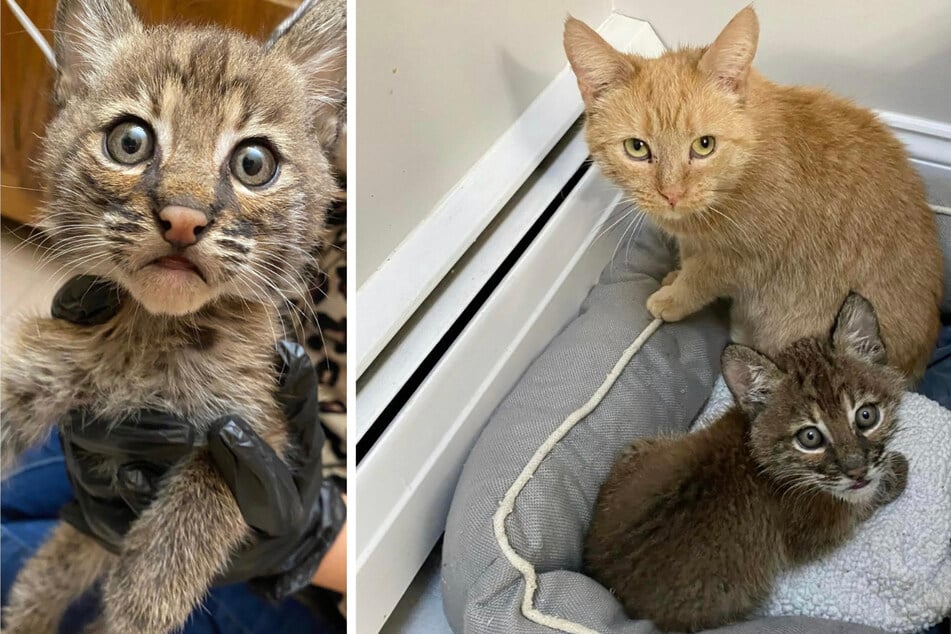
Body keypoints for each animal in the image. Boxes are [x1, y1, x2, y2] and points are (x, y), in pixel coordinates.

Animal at [0, 1, 346, 632]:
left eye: (253, 163)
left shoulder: (263, 430)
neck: (158, 330)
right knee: (41, 579)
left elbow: (211, 488)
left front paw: (142, 598)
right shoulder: (46, 356)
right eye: (130, 142)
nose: (183, 219)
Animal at [560, 7, 940, 380]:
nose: (672, 193)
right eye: (636, 148)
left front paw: (673, 297)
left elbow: (701, 278)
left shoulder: (745, 260)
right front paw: (674, 274)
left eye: (704, 145)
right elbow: (690, 257)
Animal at [588, 294, 908, 628]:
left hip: (638, 447)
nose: (857, 469)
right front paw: (895, 471)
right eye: (810, 437)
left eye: (866, 415)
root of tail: (608, 583)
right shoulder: (822, 529)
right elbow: (861, 502)